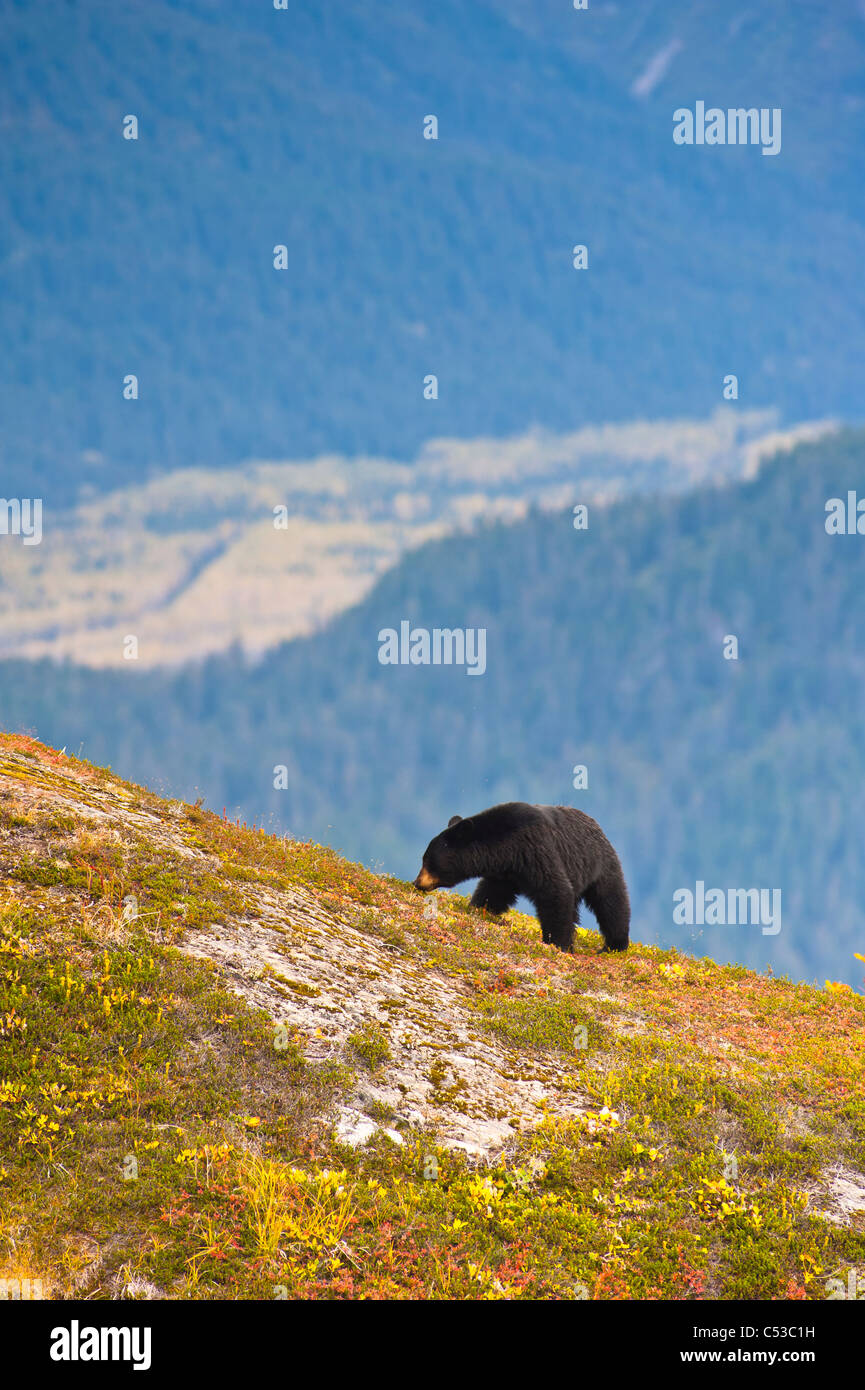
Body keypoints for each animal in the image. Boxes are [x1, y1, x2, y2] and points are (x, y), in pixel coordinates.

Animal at [414, 800, 631, 950]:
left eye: (428, 861)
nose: (417, 883)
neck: (508, 848)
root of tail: (598, 827)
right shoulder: (506, 872)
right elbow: (492, 893)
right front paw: (478, 907)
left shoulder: (536, 850)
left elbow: (555, 892)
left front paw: (558, 943)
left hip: (600, 865)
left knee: (611, 902)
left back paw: (614, 944)